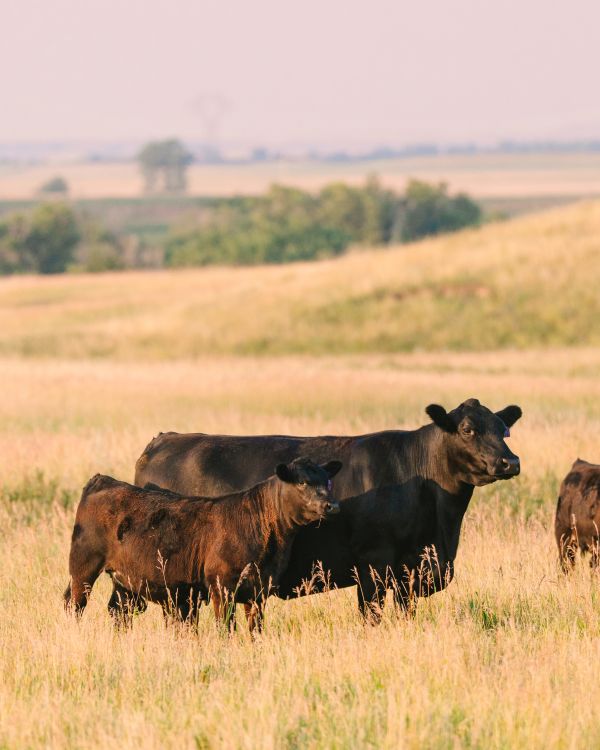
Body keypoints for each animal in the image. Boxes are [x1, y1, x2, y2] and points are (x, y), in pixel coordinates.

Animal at [64, 457, 342, 633]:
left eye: (328, 481)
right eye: (302, 482)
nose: (331, 505)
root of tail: (103, 480)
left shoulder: (259, 590)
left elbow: (256, 629)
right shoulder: (221, 587)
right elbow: (225, 628)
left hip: (125, 580)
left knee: (119, 611)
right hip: (83, 567)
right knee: (75, 603)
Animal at [134, 398, 522, 619]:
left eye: (504, 429)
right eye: (468, 429)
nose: (510, 462)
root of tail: (164, 439)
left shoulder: (410, 572)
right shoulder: (373, 563)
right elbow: (371, 615)